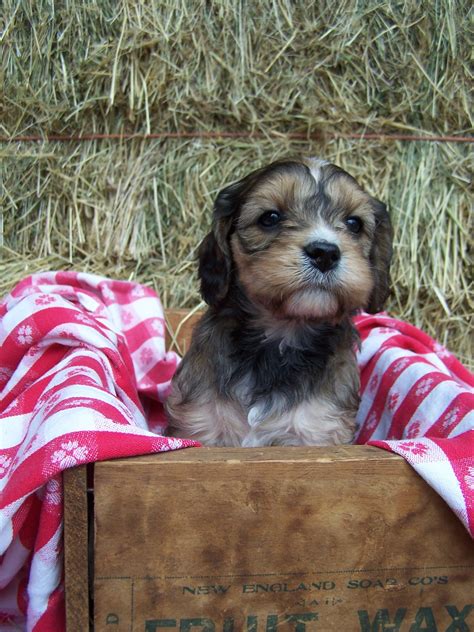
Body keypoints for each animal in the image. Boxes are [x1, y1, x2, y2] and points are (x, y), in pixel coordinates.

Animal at [166, 156, 392, 446]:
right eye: (270, 218)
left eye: (354, 224)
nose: (325, 253)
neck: (281, 335)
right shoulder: (201, 425)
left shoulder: (317, 431)